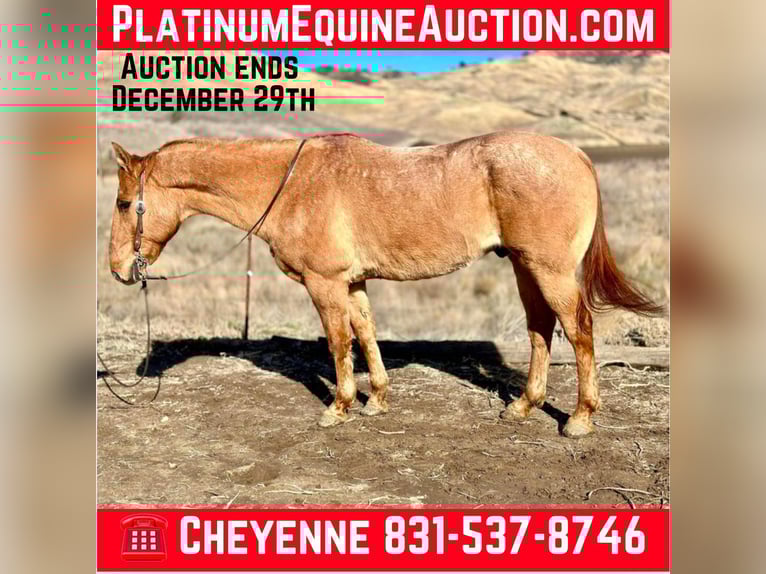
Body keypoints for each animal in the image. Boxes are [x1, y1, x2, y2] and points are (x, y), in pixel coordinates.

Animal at [108, 131, 662, 438]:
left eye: (122, 202)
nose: (117, 270)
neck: (290, 183)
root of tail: (577, 155)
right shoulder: (352, 283)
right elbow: (366, 334)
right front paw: (376, 400)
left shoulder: (325, 284)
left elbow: (338, 343)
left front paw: (338, 408)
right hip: (526, 268)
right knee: (540, 331)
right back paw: (524, 406)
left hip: (549, 270)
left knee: (580, 330)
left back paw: (580, 418)